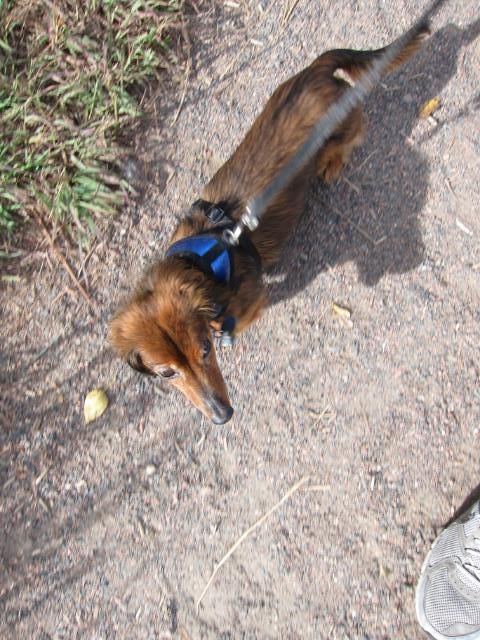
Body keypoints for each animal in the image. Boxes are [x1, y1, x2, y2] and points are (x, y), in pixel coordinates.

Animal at [109, 25, 428, 424]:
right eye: (167, 373)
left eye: (205, 351)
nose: (222, 416)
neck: (201, 260)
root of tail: (317, 70)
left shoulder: (250, 302)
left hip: (344, 125)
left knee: (354, 135)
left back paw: (331, 162)